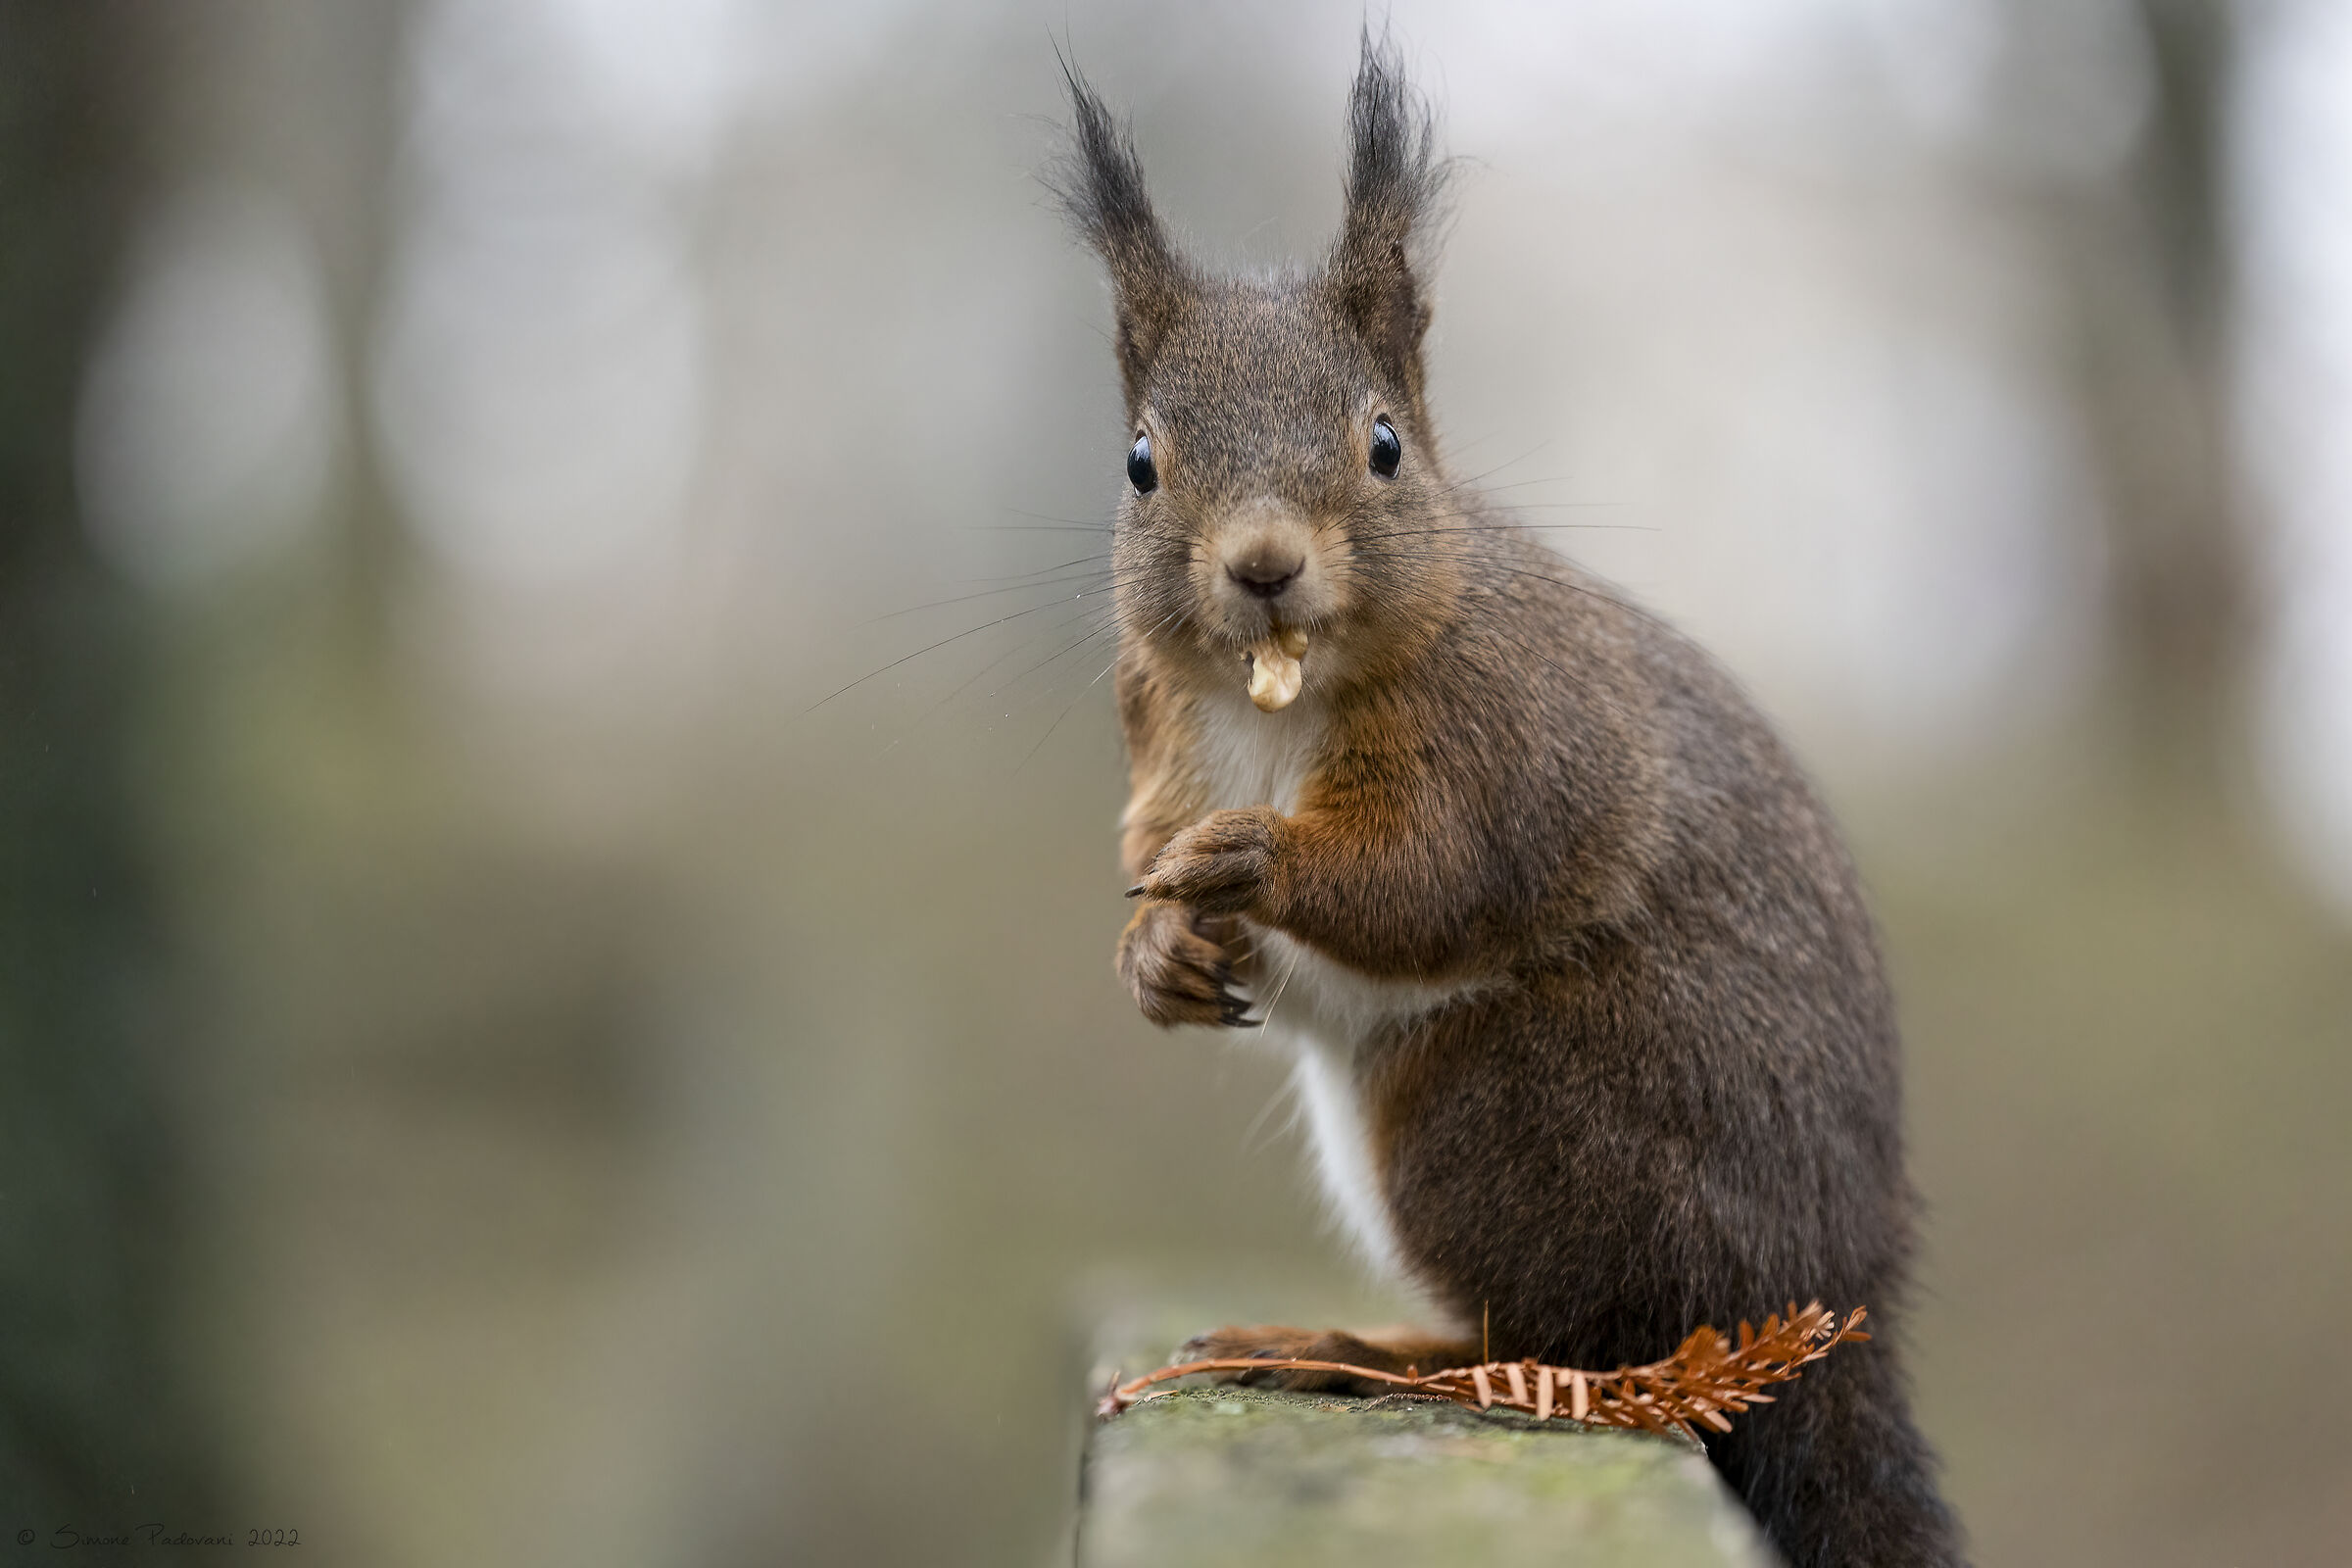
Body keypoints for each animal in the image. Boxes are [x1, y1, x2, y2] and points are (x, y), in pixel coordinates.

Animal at [1055, 35, 1966, 1568]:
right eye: (1139, 463)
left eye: (1383, 446)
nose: (1262, 566)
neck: (1269, 704)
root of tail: (1820, 1298)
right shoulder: (1157, 730)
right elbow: (1155, 852)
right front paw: (1153, 951)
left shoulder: (1509, 733)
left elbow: (1435, 875)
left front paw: (1256, 861)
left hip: (1497, 1115)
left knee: (1581, 1344)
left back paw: (1362, 1350)